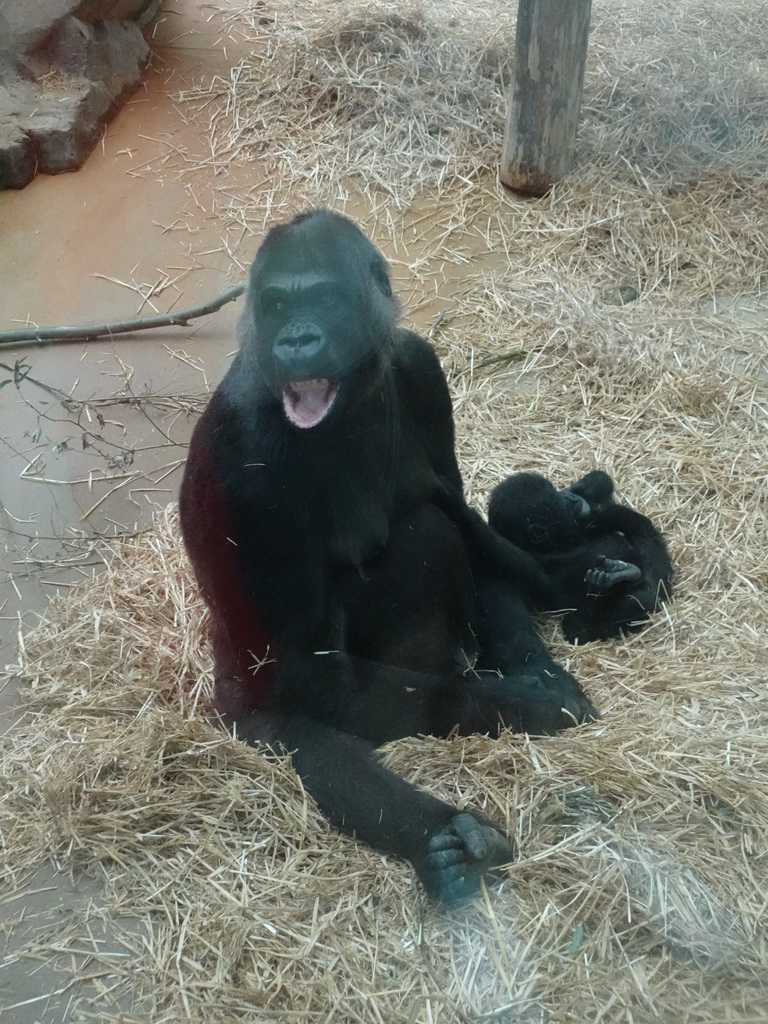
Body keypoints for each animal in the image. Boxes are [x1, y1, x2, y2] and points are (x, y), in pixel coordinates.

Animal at [179, 211, 593, 901]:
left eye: (323, 298)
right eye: (277, 303)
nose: (296, 340)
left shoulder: (421, 368)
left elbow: (463, 520)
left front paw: (539, 653)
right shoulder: (246, 448)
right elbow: (308, 675)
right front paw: (528, 703)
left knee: (433, 533)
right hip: (236, 706)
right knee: (318, 742)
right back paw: (444, 841)